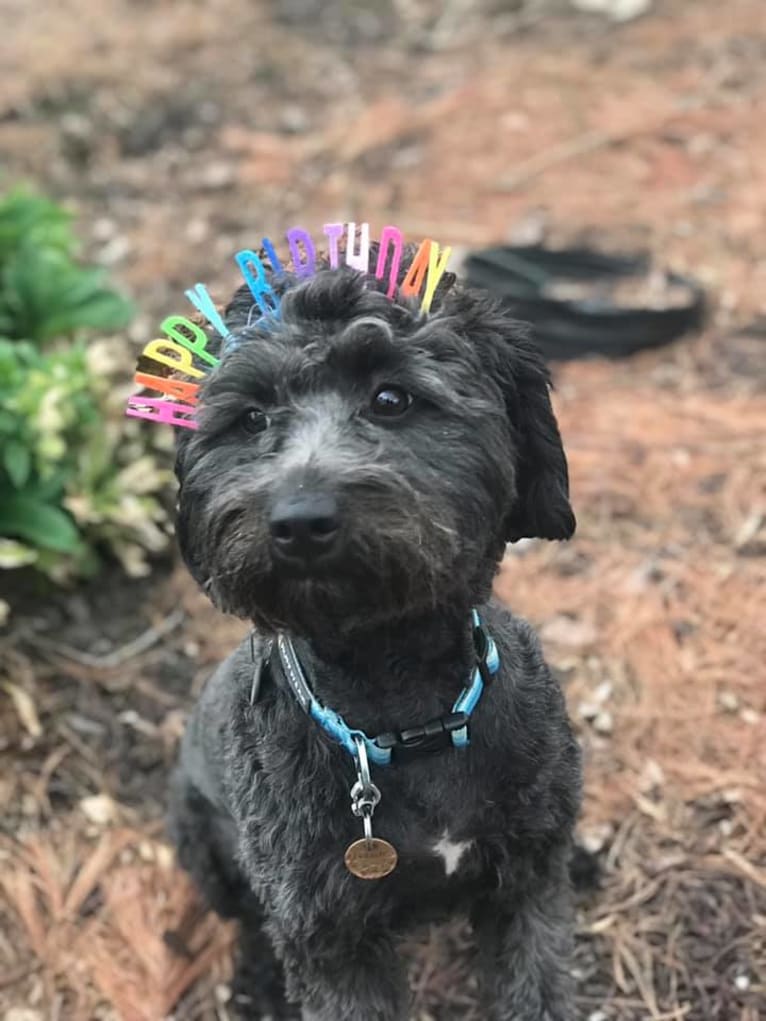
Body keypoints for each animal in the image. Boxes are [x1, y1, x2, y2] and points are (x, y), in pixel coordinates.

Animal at [169, 255, 580, 1021]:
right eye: (251, 418)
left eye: (392, 398)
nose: (299, 519)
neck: (403, 712)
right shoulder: (331, 938)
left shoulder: (529, 887)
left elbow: (536, 985)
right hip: (202, 847)